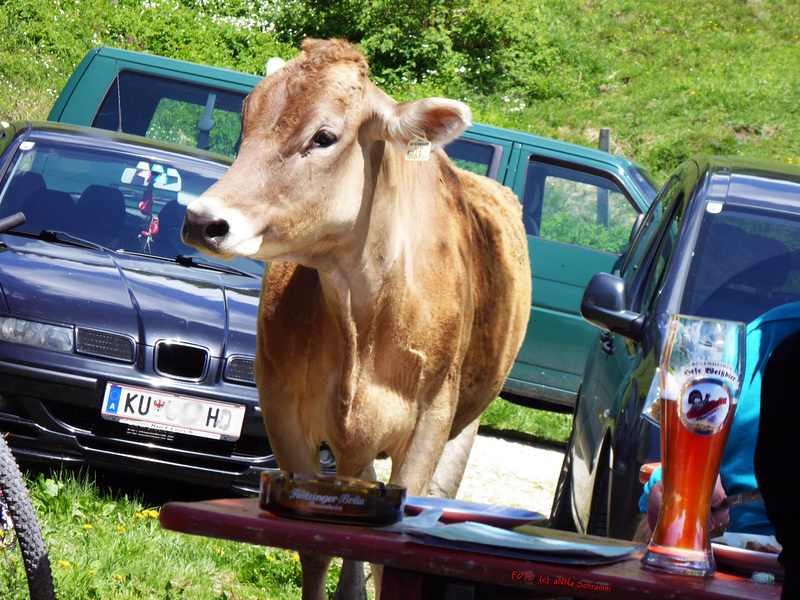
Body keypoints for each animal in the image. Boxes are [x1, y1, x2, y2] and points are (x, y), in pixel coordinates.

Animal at [181, 39, 532, 596]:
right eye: (246, 120)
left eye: (324, 137)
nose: (202, 220)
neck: (361, 315)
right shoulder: (281, 407)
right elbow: (317, 546)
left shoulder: (431, 419)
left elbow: (392, 554)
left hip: (466, 422)